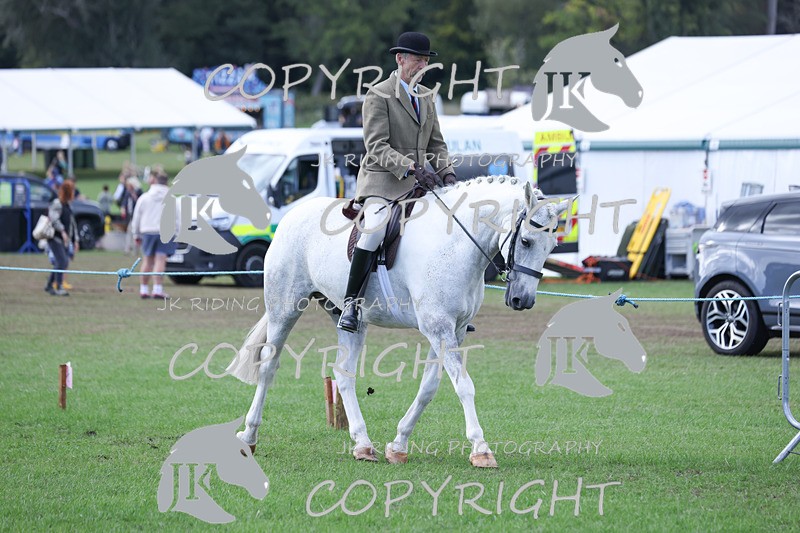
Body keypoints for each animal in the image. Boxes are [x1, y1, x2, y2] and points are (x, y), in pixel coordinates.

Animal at [226, 177, 569, 468]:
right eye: (526, 241)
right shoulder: (438, 327)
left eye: (551, 246)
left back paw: (363, 445)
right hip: (285, 308)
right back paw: (250, 436)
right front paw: (481, 449)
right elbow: (464, 386)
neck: (454, 243)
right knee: (268, 366)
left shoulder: (452, 330)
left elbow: (429, 387)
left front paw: (398, 445)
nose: (522, 300)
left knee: (344, 374)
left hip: (349, 319)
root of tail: (291, 215)